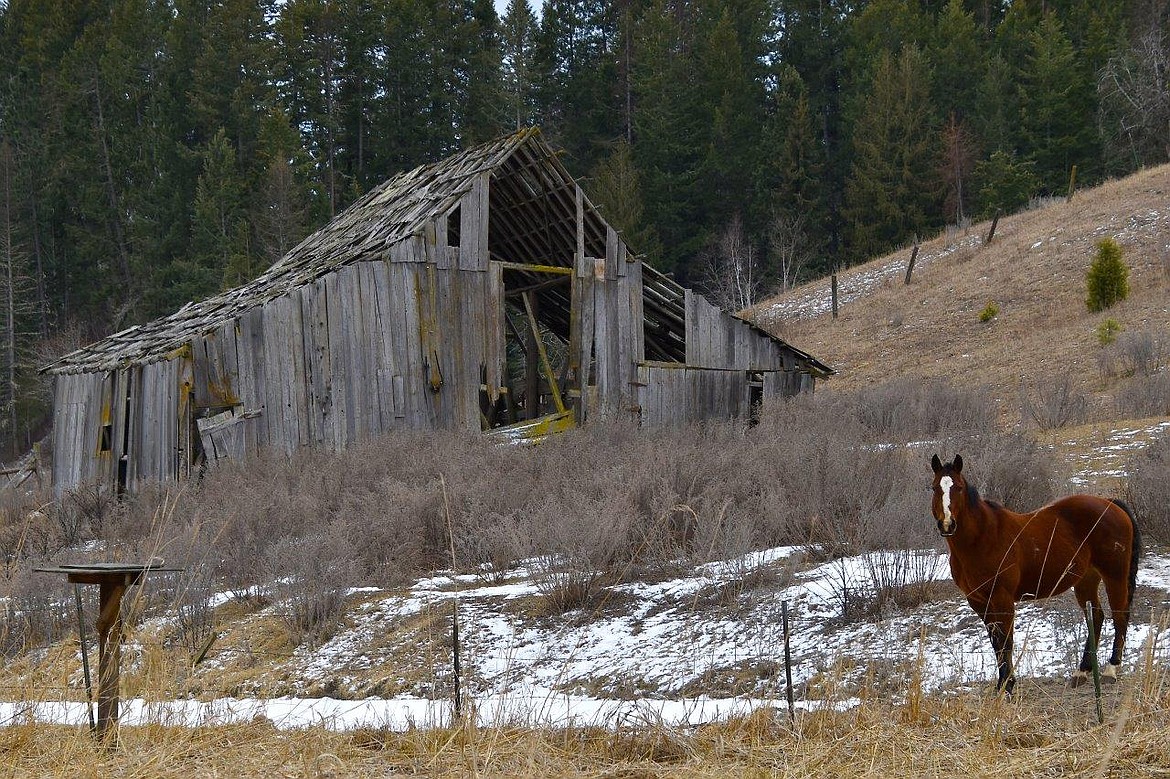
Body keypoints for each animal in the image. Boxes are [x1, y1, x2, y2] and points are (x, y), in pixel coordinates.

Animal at [926, 451, 1137, 692]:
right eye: (934, 488)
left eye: (959, 488)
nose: (947, 524)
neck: (983, 539)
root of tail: (1110, 503)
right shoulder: (977, 601)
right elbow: (995, 642)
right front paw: (1003, 684)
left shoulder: (1002, 599)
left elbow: (1005, 642)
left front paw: (1007, 686)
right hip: (1085, 579)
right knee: (1097, 616)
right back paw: (1082, 671)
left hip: (1115, 576)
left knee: (1120, 615)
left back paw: (1111, 669)